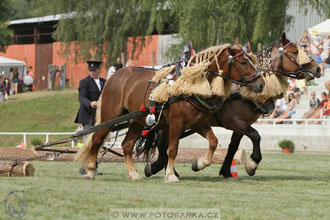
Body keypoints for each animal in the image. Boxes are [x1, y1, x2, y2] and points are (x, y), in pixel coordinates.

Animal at [75, 43, 266, 182]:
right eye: (243, 62)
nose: (261, 84)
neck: (192, 84)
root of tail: (114, 77)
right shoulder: (176, 122)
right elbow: (172, 149)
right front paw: (171, 175)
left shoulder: (199, 123)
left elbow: (214, 142)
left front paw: (199, 163)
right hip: (111, 115)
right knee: (97, 139)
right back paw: (91, 171)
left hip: (137, 121)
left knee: (127, 145)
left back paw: (133, 173)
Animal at [144, 33, 320, 180]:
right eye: (295, 51)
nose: (317, 68)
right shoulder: (233, 121)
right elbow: (256, 136)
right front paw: (252, 164)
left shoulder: (241, 125)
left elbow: (233, 147)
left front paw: (226, 171)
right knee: (163, 143)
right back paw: (163, 169)